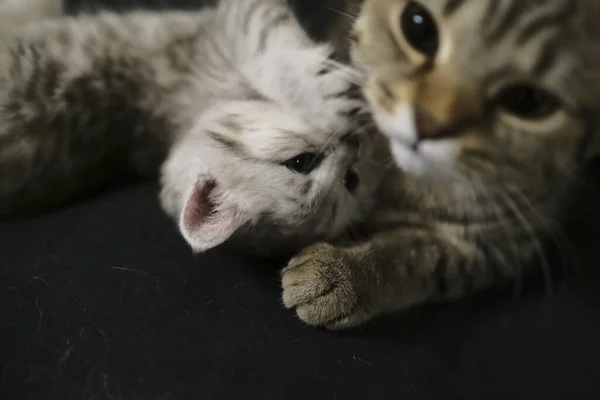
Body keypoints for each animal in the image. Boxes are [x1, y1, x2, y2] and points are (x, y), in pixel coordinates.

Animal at [282, 0, 600, 330]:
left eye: (530, 100)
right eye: (417, 26)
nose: (428, 124)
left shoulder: (501, 243)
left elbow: (419, 257)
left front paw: (343, 275)